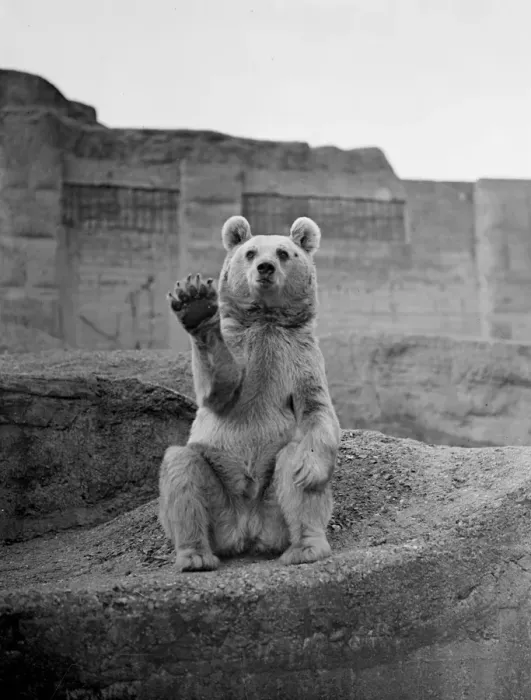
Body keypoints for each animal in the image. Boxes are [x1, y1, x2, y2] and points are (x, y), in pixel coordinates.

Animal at [158, 215, 341, 571]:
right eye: (250, 252)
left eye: (284, 252)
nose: (265, 267)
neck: (266, 320)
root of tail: (246, 531)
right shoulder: (241, 347)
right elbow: (219, 389)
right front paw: (195, 303)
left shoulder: (300, 356)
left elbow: (316, 409)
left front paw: (309, 469)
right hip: (218, 493)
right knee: (181, 468)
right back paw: (194, 556)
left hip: (272, 507)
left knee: (291, 465)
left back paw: (307, 547)